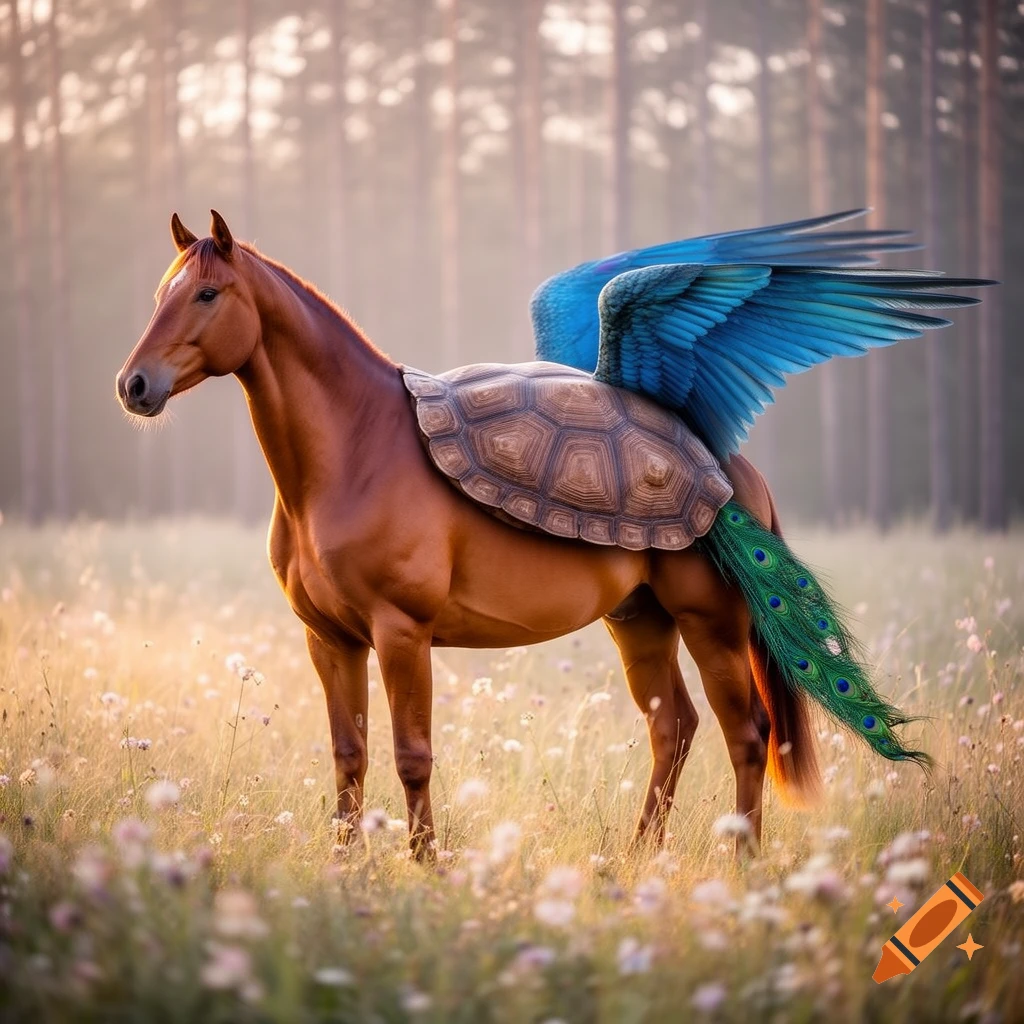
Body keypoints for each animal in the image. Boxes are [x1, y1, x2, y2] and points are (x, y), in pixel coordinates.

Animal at [116, 211, 821, 858]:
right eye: (160, 293)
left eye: (208, 294)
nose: (134, 385)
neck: (355, 454)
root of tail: (732, 469)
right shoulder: (331, 640)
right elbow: (349, 755)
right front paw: (345, 866)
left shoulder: (402, 632)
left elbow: (411, 755)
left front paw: (426, 865)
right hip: (640, 620)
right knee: (673, 729)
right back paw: (636, 856)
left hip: (710, 624)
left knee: (747, 735)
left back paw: (744, 861)